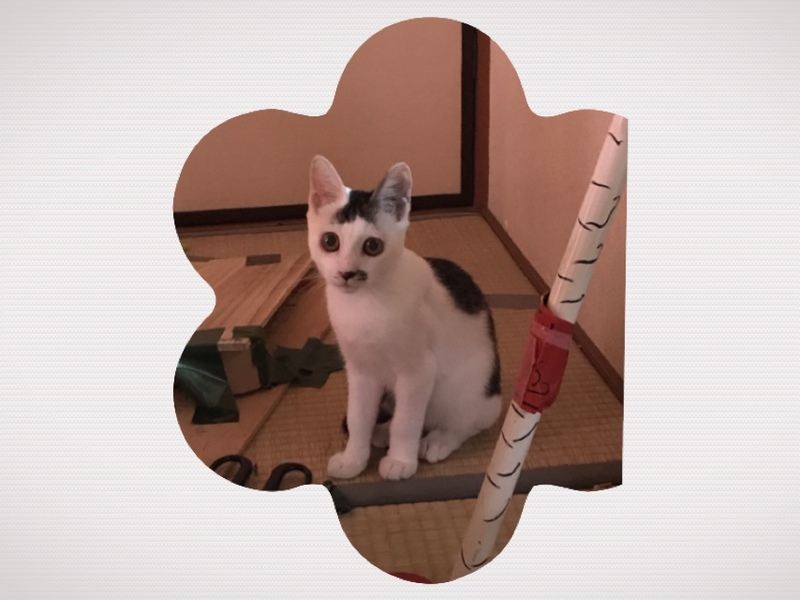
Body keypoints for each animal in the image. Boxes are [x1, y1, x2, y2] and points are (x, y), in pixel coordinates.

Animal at [306, 155, 502, 481]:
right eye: (330, 241)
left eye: (372, 246)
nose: (347, 272)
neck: (364, 305)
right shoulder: (360, 370)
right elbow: (358, 417)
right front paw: (353, 460)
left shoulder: (418, 371)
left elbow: (407, 421)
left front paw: (400, 461)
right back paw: (381, 431)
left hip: (469, 389)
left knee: (464, 423)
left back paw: (437, 441)